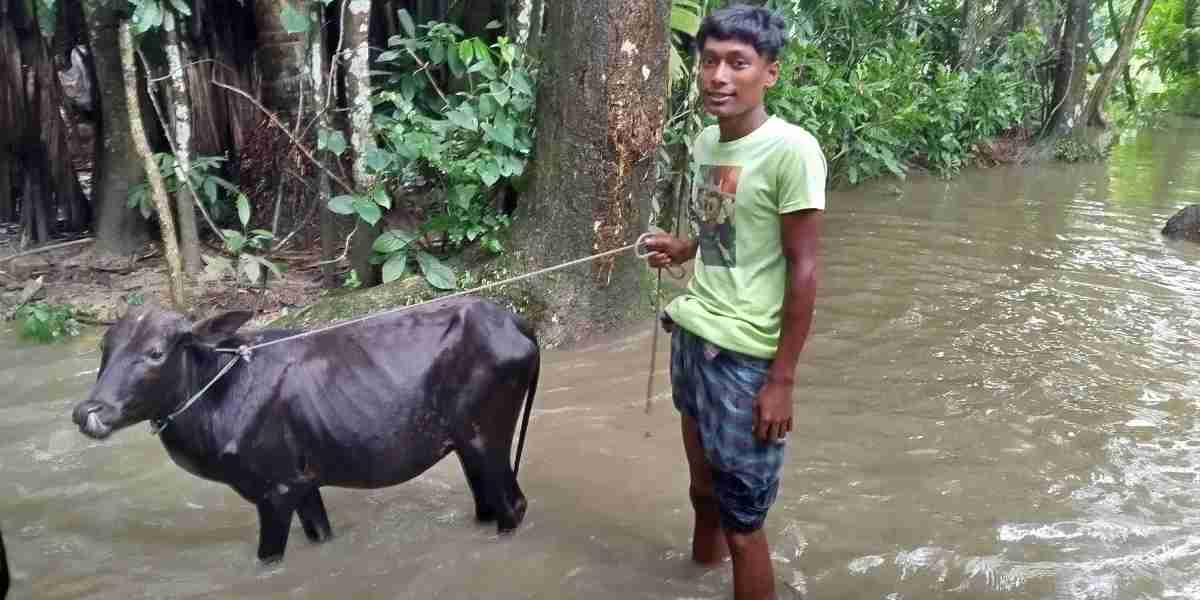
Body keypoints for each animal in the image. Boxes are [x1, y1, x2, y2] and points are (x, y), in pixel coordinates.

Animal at [72, 298, 542, 561]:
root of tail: (516, 322)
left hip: (487, 437)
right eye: (105, 347)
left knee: (513, 507)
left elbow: (268, 558)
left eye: (156, 352)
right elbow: (320, 534)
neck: (218, 391)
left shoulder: (274, 491)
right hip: (465, 445)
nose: (87, 412)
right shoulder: (303, 482)